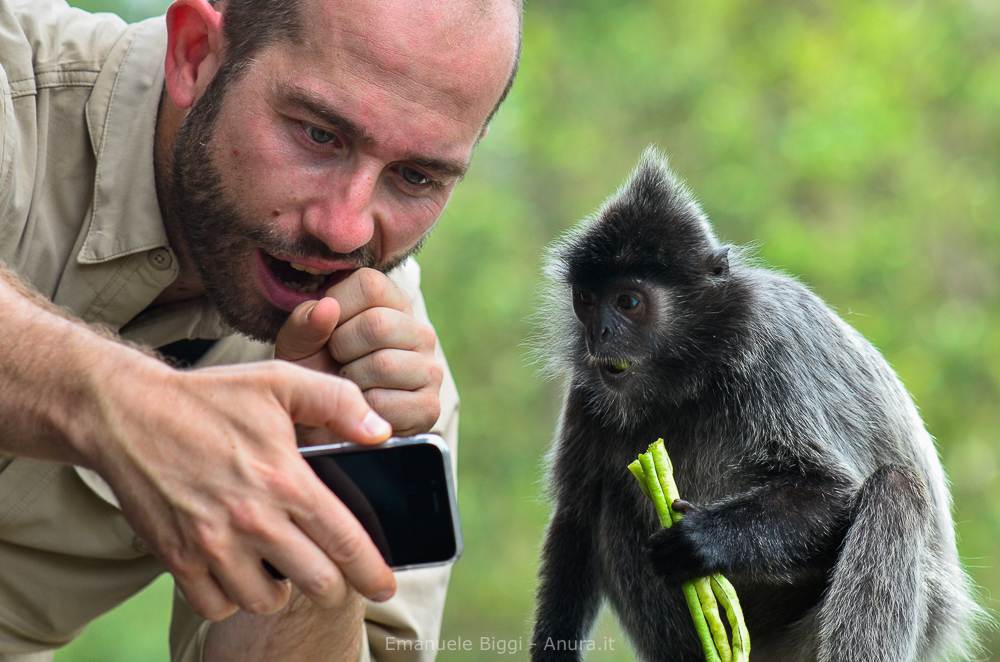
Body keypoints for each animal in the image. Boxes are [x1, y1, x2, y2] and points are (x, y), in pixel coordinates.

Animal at [532, 150, 984, 662]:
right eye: (586, 300)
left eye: (628, 302)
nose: (600, 334)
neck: (685, 373)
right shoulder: (587, 389)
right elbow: (574, 519)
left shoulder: (767, 344)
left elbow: (834, 492)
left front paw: (703, 539)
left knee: (896, 488)